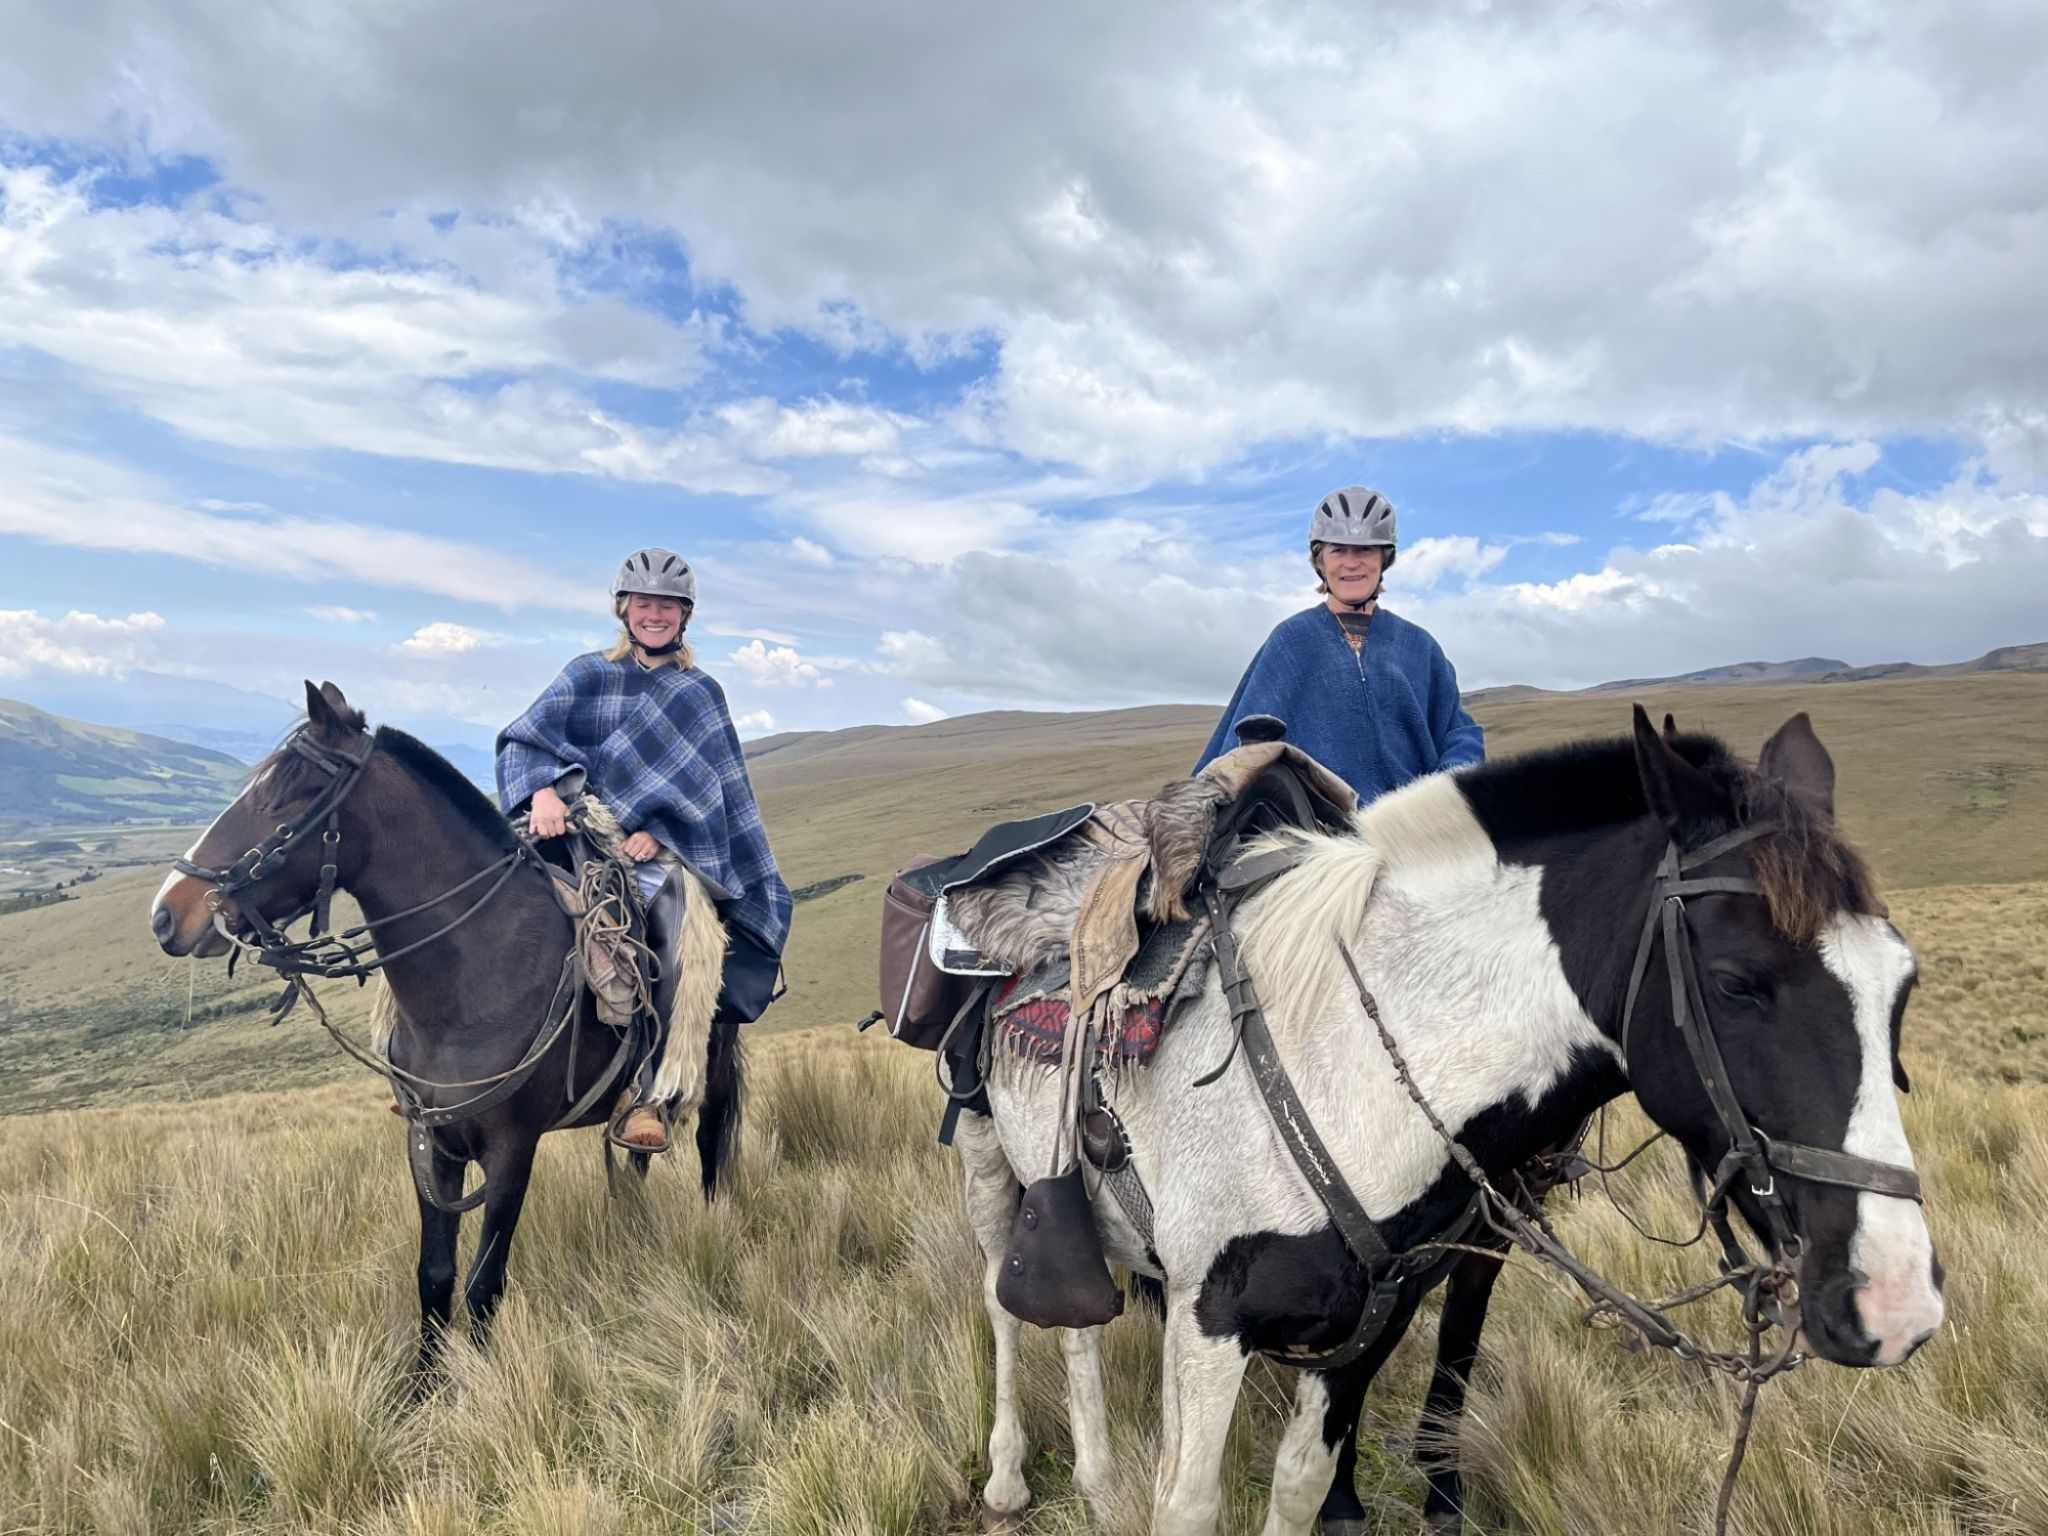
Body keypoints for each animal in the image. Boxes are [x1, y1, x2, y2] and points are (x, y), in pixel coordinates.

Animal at [153, 679, 745, 1376]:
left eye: (285, 795)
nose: (167, 914)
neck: (473, 979)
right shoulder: (432, 1144)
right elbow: (435, 1274)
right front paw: (425, 1386)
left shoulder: (513, 1149)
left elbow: (485, 1282)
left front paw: (482, 1384)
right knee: (633, 1164)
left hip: (710, 1058)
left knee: (709, 1145)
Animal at [950, 716, 1941, 1536]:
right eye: (1737, 984)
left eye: (1905, 985)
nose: (1896, 1304)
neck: (1352, 1060)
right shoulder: (1208, 1318)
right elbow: (1188, 1507)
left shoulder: (1370, 1321)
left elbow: (1305, 1487)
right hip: (991, 1168)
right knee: (1006, 1307)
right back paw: (1008, 1481)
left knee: (1078, 1317)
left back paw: (1095, 1477)